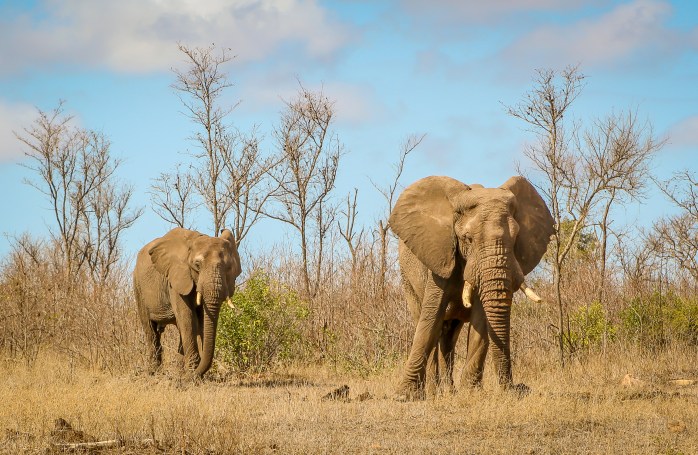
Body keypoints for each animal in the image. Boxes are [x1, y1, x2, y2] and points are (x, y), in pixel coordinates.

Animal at [133, 227, 241, 378]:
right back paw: (153, 372)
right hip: (138, 287)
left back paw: (178, 372)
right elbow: (187, 318)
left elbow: (201, 320)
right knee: (150, 329)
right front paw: (191, 374)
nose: (197, 374)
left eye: (229, 268)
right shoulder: (176, 279)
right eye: (197, 265)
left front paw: (193, 374)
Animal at [389, 175, 554, 400]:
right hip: (407, 278)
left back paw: (449, 391)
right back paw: (434, 391)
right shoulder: (441, 256)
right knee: (429, 323)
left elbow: (481, 318)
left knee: (449, 336)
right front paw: (405, 396)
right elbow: (431, 316)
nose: (517, 387)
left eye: (515, 238)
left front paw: (471, 391)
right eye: (468, 238)